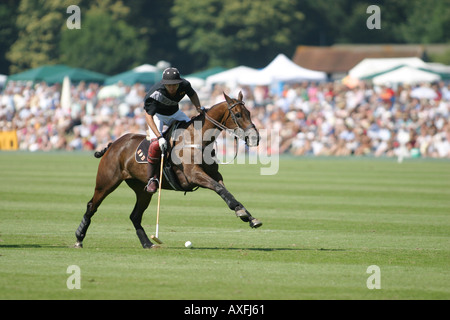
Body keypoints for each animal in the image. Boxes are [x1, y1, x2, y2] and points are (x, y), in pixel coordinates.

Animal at [75, 91, 262, 249]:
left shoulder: (214, 174)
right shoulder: (194, 175)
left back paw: (147, 243)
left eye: (249, 113)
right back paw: (79, 237)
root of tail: (114, 144)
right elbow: (218, 188)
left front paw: (248, 216)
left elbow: (225, 190)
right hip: (106, 182)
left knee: (135, 215)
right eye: (237, 114)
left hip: (142, 190)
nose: (255, 138)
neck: (197, 138)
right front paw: (241, 212)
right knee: (92, 205)